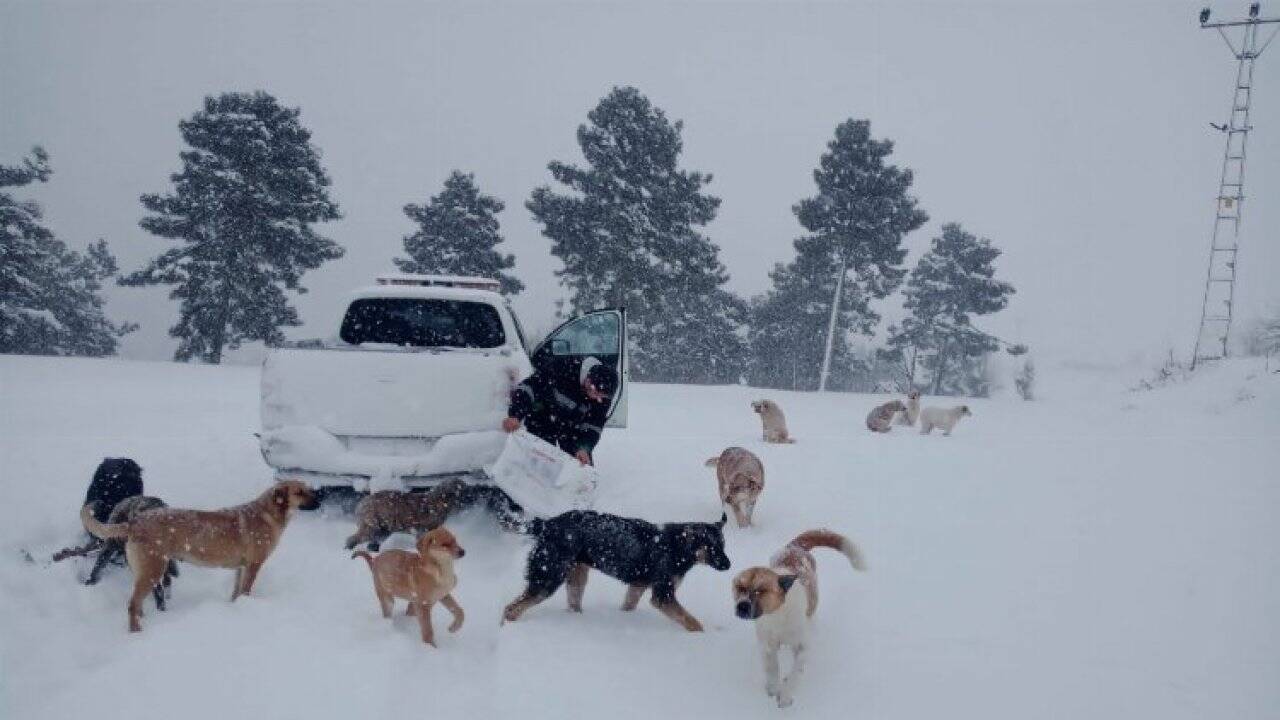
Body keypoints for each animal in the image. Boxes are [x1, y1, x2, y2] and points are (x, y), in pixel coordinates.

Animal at [81, 481, 318, 627]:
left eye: (308, 488)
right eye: (299, 492)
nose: (320, 499)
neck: (268, 513)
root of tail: (134, 521)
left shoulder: (240, 568)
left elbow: (236, 593)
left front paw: (234, 608)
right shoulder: (253, 566)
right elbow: (246, 591)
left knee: (137, 605)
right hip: (153, 571)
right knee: (132, 605)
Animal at [504, 507, 737, 630]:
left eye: (724, 545)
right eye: (712, 548)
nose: (728, 565)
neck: (678, 546)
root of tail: (547, 524)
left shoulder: (637, 586)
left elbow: (628, 606)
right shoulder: (663, 596)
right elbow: (691, 621)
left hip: (576, 576)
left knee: (571, 603)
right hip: (548, 578)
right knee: (511, 609)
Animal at [737, 527, 865, 707]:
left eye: (760, 591)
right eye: (740, 588)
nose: (741, 606)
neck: (778, 614)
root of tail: (795, 546)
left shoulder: (802, 646)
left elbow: (795, 673)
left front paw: (785, 696)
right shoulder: (767, 644)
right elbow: (772, 667)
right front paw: (773, 687)